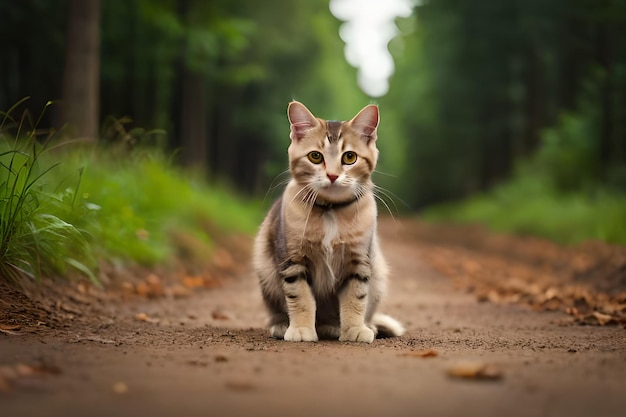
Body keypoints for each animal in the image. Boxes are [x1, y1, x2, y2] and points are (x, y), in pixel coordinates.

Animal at [251, 100, 402, 342]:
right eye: (315, 156)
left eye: (349, 157)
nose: (332, 175)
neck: (331, 210)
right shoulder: (293, 261)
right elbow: (300, 297)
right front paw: (301, 329)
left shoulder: (358, 262)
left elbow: (355, 297)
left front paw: (355, 329)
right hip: (265, 270)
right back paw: (283, 325)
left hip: (378, 274)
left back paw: (347, 326)